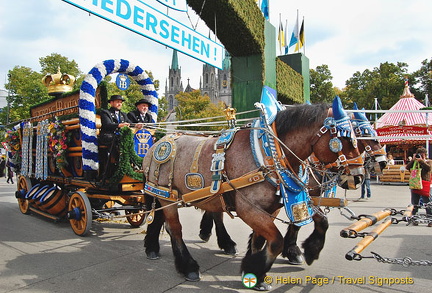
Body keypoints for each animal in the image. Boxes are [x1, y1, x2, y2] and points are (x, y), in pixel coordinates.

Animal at [143, 100, 362, 288]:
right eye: (345, 138)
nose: (358, 176)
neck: (269, 153)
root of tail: (159, 142)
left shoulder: (272, 208)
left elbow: (261, 240)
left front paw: (254, 271)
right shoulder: (249, 209)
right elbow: (276, 241)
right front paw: (257, 271)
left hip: (173, 196)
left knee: (170, 219)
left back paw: (154, 246)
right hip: (166, 195)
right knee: (175, 229)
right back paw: (187, 266)